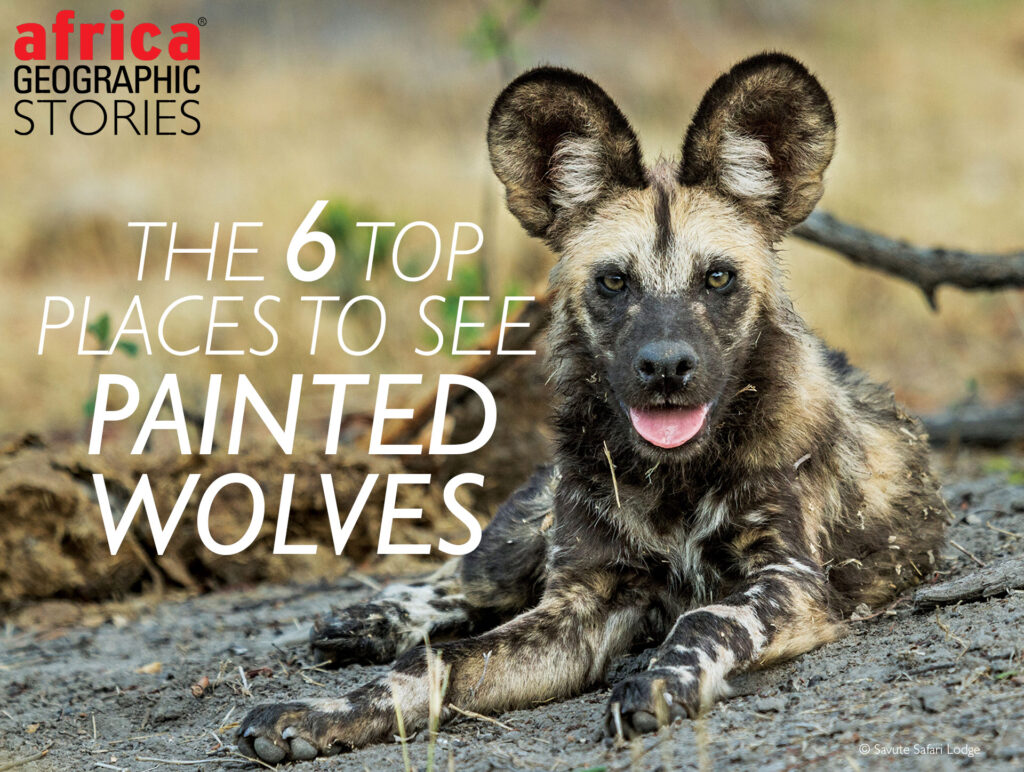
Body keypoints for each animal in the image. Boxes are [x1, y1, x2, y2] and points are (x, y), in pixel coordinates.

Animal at [238, 53, 948, 763]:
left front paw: (660, 684)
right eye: (614, 281)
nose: (666, 368)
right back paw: (376, 618)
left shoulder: (788, 579)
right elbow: (435, 664)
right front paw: (327, 712)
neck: (673, 481)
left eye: (717, 277)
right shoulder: (580, 602)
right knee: (469, 580)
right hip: (532, 525)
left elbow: (706, 617)